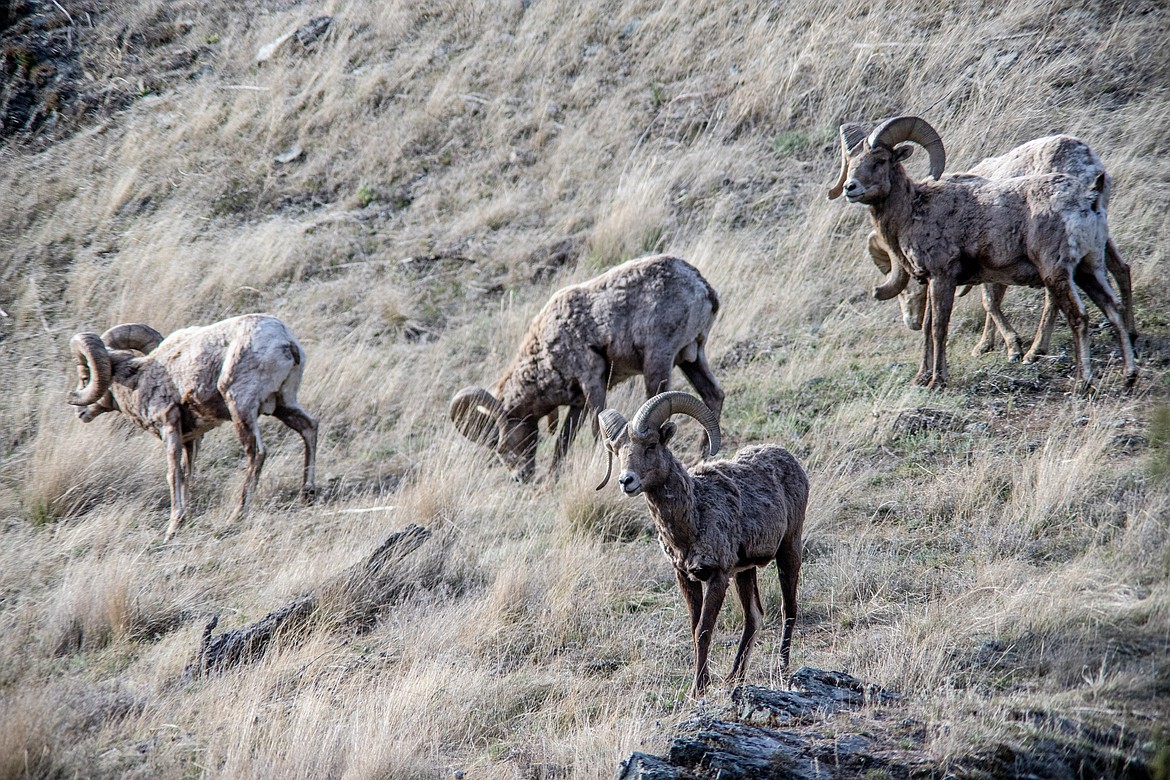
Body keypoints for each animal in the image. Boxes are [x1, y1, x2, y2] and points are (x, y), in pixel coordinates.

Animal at [66, 313, 318, 540]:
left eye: (84, 376)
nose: (79, 411)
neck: (138, 379)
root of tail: (285, 342)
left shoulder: (170, 428)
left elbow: (173, 474)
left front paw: (173, 528)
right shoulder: (192, 439)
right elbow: (187, 474)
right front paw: (184, 519)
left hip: (241, 407)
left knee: (257, 452)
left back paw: (237, 515)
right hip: (283, 404)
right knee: (309, 427)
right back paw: (308, 494)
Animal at [446, 254, 720, 481]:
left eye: (502, 446)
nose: (519, 477)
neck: (546, 351)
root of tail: (702, 287)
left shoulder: (592, 382)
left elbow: (597, 431)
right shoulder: (577, 402)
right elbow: (563, 441)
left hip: (658, 361)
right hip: (691, 358)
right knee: (713, 396)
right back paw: (704, 457)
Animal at [594, 392, 804, 696]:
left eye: (651, 445)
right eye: (618, 449)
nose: (626, 481)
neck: (693, 518)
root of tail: (789, 459)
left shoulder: (717, 576)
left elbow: (704, 630)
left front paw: (698, 690)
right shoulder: (686, 578)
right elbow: (695, 630)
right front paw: (702, 684)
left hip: (789, 549)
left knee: (789, 609)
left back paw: (781, 668)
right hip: (745, 571)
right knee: (753, 617)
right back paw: (734, 678)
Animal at [870, 135, 1132, 362]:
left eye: (905, 288)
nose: (912, 322)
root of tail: (1088, 166)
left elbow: (990, 302)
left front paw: (1007, 348)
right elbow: (992, 301)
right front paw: (990, 345)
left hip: (1056, 259)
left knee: (1054, 299)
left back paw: (1035, 352)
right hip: (1096, 242)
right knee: (1121, 268)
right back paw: (1132, 333)